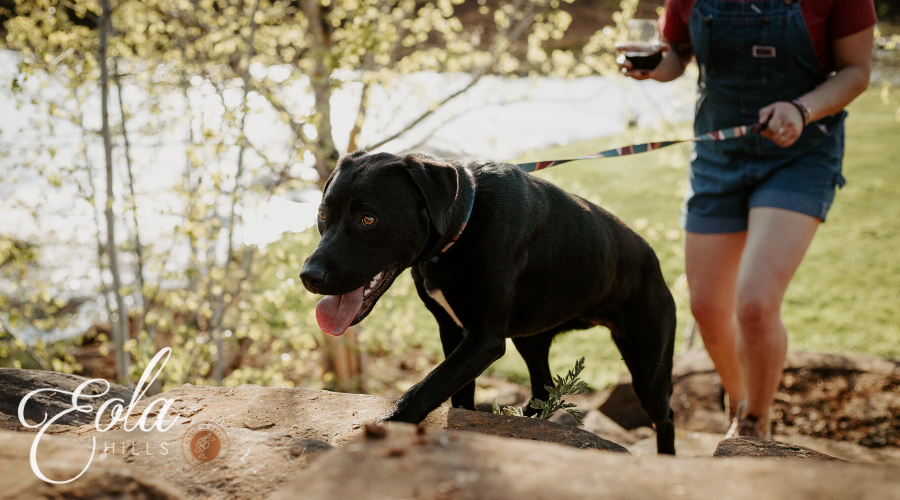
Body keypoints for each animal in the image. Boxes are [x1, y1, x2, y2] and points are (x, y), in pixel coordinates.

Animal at [302, 150, 676, 456]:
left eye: (369, 218)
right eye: (322, 214)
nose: (309, 275)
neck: (462, 225)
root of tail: (652, 257)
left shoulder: (484, 338)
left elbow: (425, 388)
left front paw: (386, 426)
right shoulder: (452, 330)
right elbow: (454, 392)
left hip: (647, 364)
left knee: (665, 415)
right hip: (531, 340)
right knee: (542, 391)